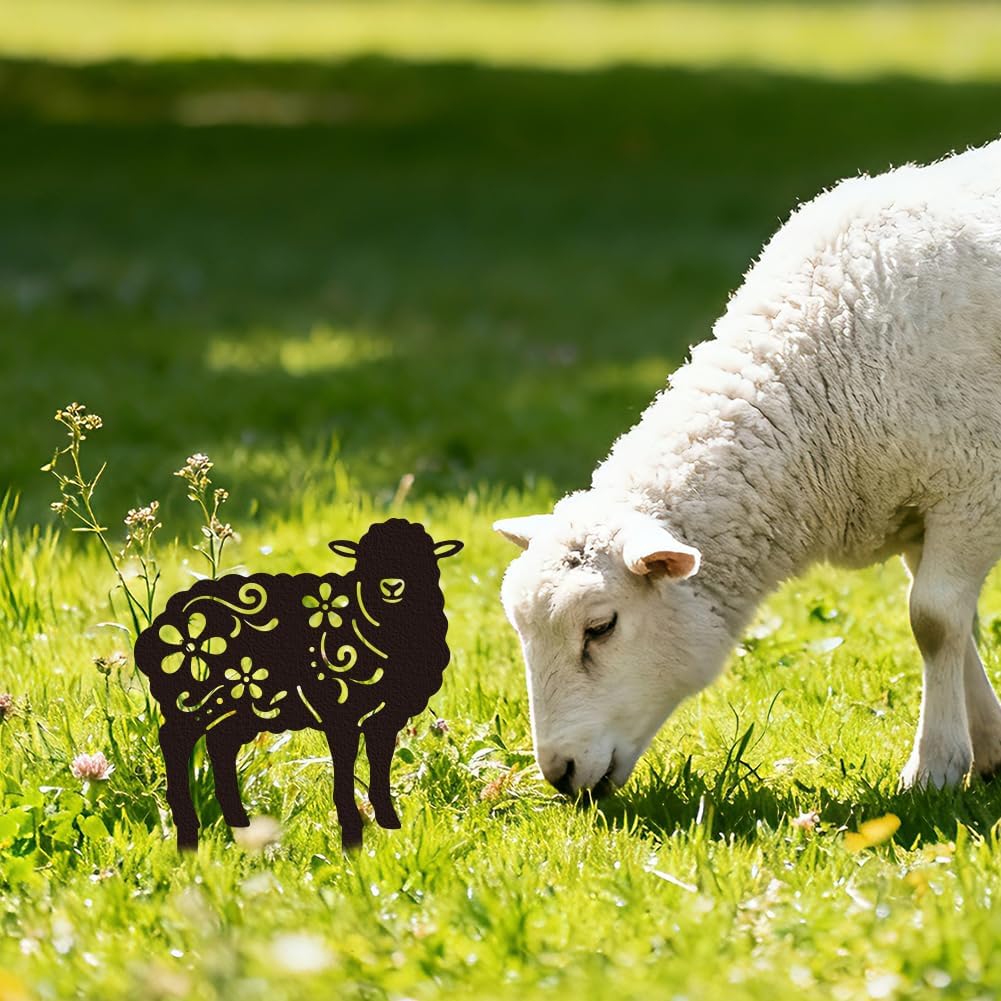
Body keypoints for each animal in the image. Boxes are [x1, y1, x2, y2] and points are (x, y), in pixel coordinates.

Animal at [134, 518, 463, 850]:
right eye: (367, 560)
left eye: (423, 558)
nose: (392, 585)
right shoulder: (340, 713)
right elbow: (345, 771)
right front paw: (352, 834)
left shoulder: (385, 717)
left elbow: (380, 765)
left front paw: (389, 822)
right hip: (195, 698)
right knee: (175, 740)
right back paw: (188, 830)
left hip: (235, 704)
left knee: (220, 744)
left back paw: (239, 823)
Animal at [494, 139, 1001, 799]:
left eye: (600, 628)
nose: (560, 774)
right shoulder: (918, 507)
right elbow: (956, 625)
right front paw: (990, 747)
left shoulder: (972, 485)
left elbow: (934, 620)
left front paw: (934, 768)